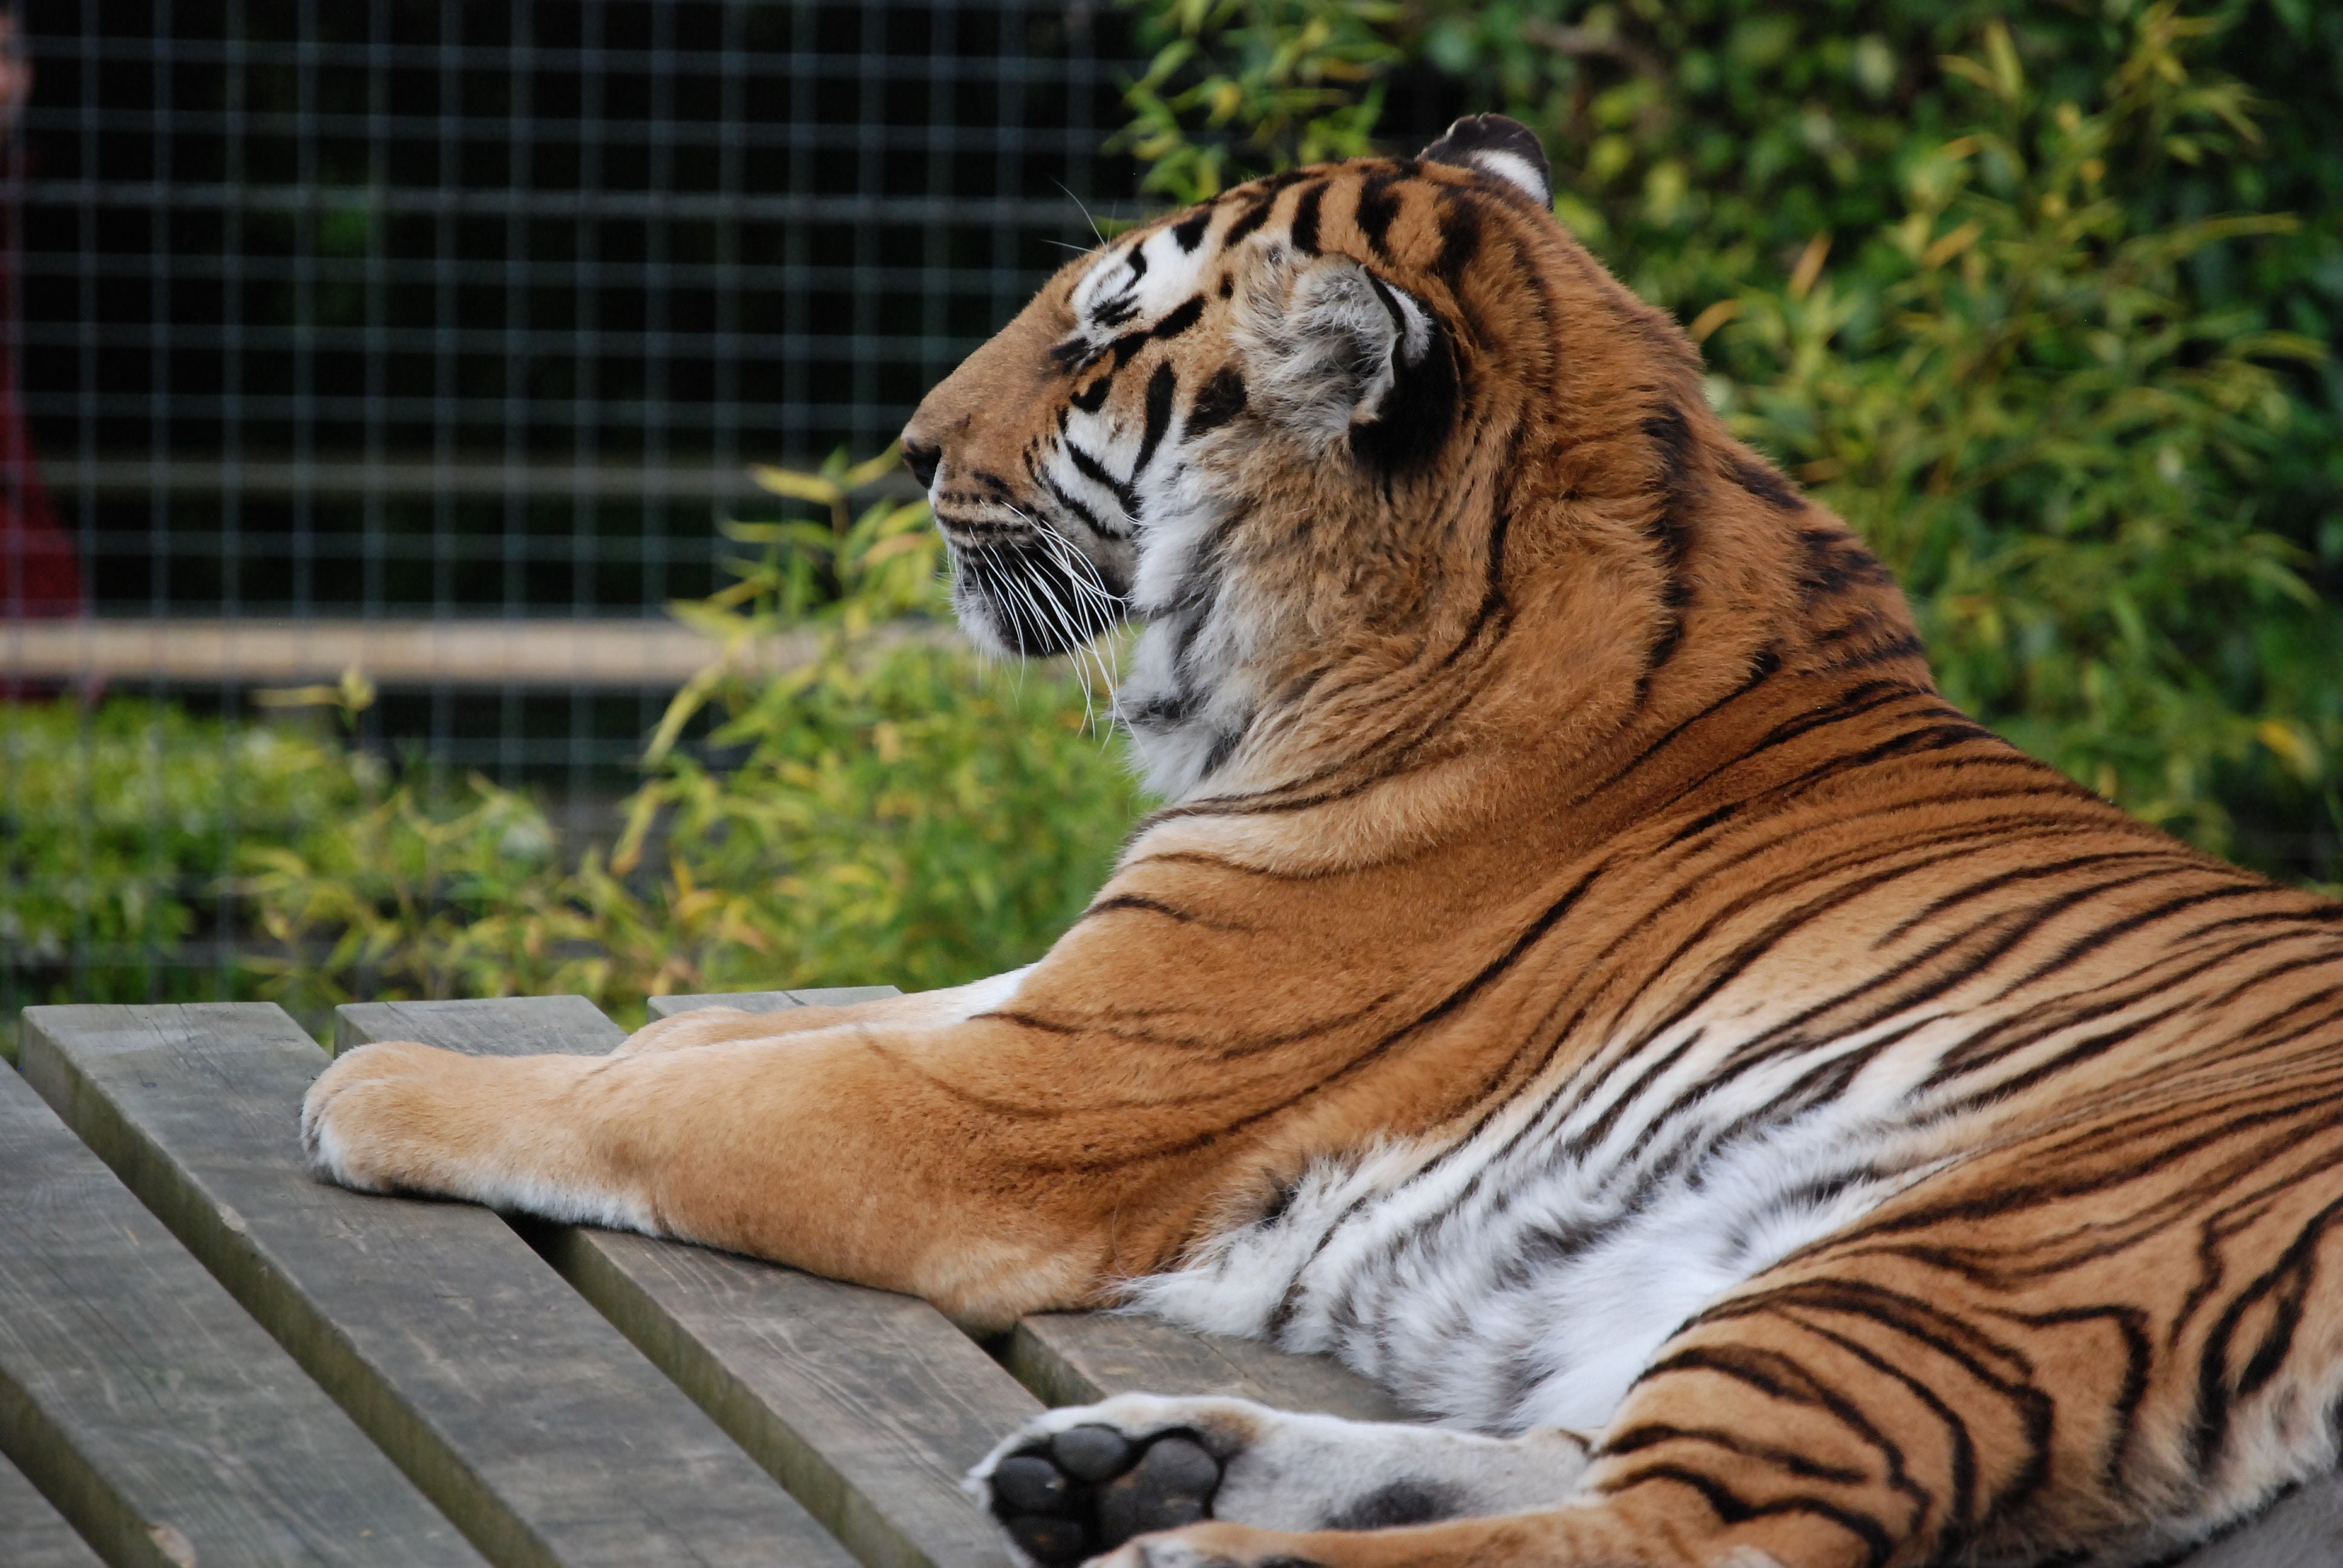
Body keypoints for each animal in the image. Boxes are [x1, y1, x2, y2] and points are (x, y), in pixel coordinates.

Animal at [301, 113, 2343, 1567]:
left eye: (1096, 343)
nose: (901, 447)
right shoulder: (1071, 994)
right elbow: (791, 1024)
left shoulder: (1021, 1110)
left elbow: (690, 1103)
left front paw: (380, 1087)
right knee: (1585, 1458)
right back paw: (1139, 1465)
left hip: (1979, 1242)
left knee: (1702, 1534)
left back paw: (1192, 1549)